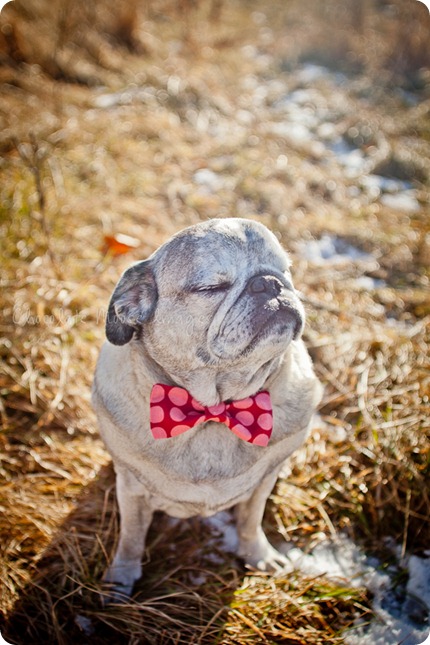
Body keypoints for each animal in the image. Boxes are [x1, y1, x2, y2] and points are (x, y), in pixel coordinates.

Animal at [94, 216, 322, 592]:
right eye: (211, 288)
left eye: (285, 271)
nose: (269, 282)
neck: (216, 407)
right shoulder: (131, 490)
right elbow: (130, 539)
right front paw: (121, 580)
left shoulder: (262, 486)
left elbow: (250, 522)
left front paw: (258, 555)